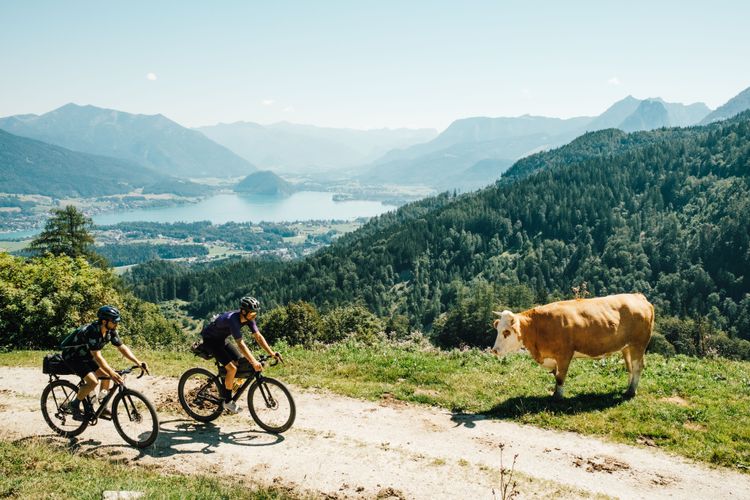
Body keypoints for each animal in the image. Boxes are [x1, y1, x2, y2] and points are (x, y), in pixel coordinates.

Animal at [494, 292, 652, 398]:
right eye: (497, 329)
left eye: (506, 332)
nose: (494, 350)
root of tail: (638, 296)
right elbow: (556, 376)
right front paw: (554, 393)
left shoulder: (564, 354)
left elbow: (560, 377)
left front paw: (558, 397)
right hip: (626, 347)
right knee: (630, 367)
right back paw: (628, 388)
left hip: (639, 344)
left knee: (638, 367)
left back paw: (631, 392)